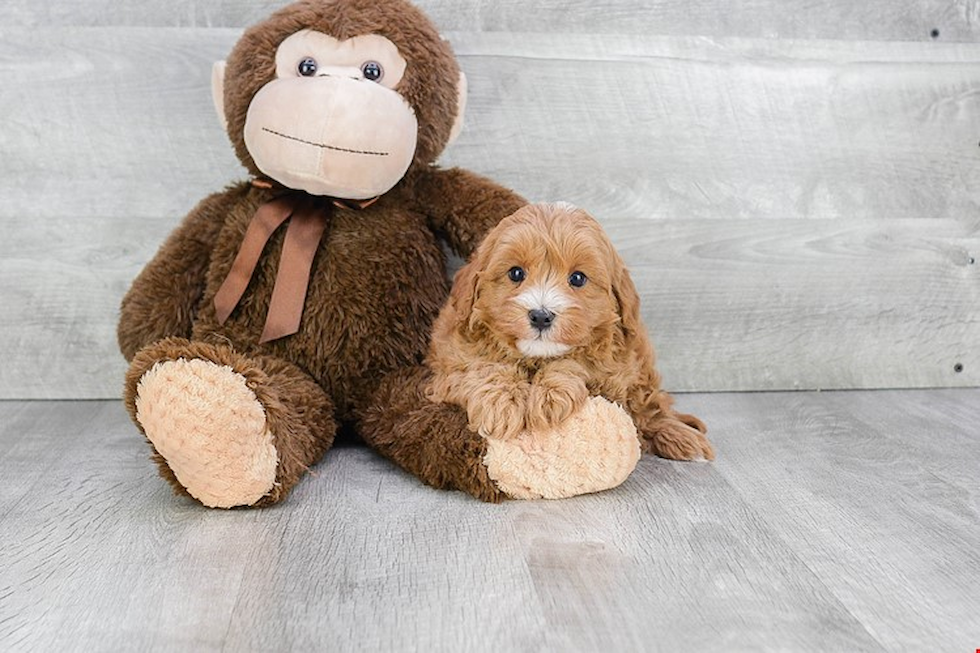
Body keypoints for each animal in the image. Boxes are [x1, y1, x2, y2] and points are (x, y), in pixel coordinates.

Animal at [426, 201, 712, 460]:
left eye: (577, 278)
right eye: (516, 273)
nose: (541, 316)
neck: (535, 358)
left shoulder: (613, 374)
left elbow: (577, 359)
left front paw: (550, 394)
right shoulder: (448, 366)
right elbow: (481, 366)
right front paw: (499, 403)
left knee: (651, 408)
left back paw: (679, 436)